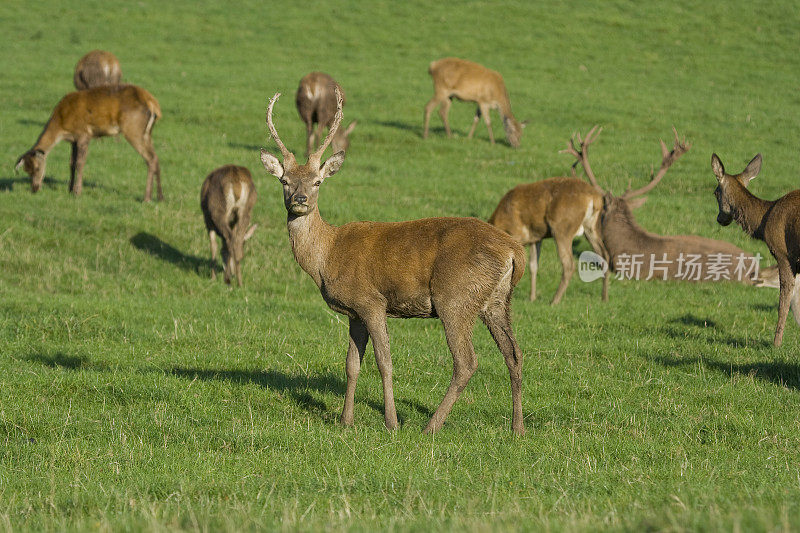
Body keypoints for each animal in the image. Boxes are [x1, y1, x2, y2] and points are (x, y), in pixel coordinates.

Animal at [15, 85, 162, 202]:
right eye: (26, 170)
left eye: (37, 168)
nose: (34, 189)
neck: (61, 125)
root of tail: (153, 103)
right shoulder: (73, 140)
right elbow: (71, 163)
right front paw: (69, 189)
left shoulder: (84, 134)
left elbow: (80, 163)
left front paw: (77, 192)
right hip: (147, 133)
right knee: (155, 157)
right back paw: (160, 197)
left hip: (133, 129)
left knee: (150, 158)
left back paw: (146, 198)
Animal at [260, 87, 528, 434]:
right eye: (284, 181)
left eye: (318, 181)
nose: (300, 200)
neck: (327, 257)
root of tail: (515, 251)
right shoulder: (354, 312)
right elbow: (351, 364)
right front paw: (345, 420)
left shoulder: (371, 301)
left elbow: (384, 362)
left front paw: (391, 422)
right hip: (497, 300)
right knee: (514, 353)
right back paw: (517, 428)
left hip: (456, 296)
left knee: (467, 361)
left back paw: (431, 426)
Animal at [712, 152, 800, 348]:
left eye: (715, 193)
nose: (720, 219)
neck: (763, 222)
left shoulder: (783, 254)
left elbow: (784, 300)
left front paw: (776, 343)